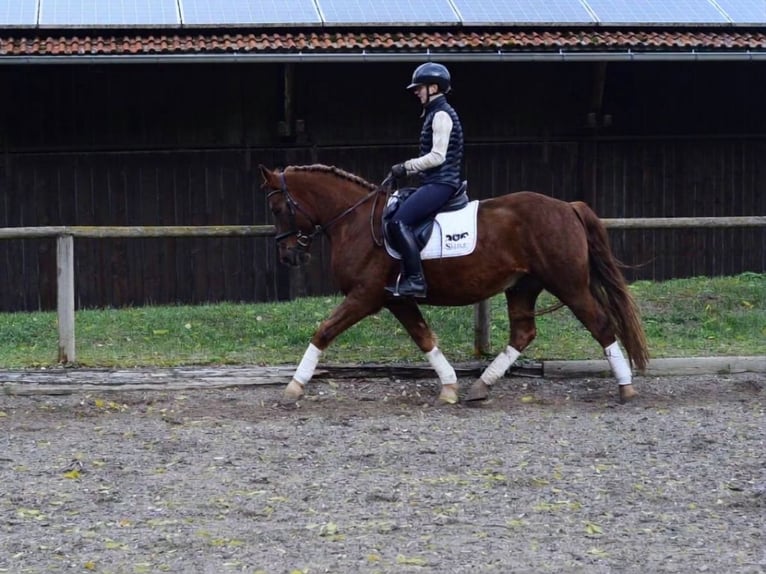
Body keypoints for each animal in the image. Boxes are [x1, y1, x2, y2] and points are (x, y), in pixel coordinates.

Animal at [259, 163, 649, 405]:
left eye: (277, 209)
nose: (289, 256)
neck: (355, 221)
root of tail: (568, 207)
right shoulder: (397, 299)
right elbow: (425, 338)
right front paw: (449, 387)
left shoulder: (365, 296)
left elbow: (323, 331)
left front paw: (292, 389)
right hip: (523, 286)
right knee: (523, 334)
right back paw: (480, 386)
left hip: (568, 285)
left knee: (601, 325)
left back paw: (626, 389)